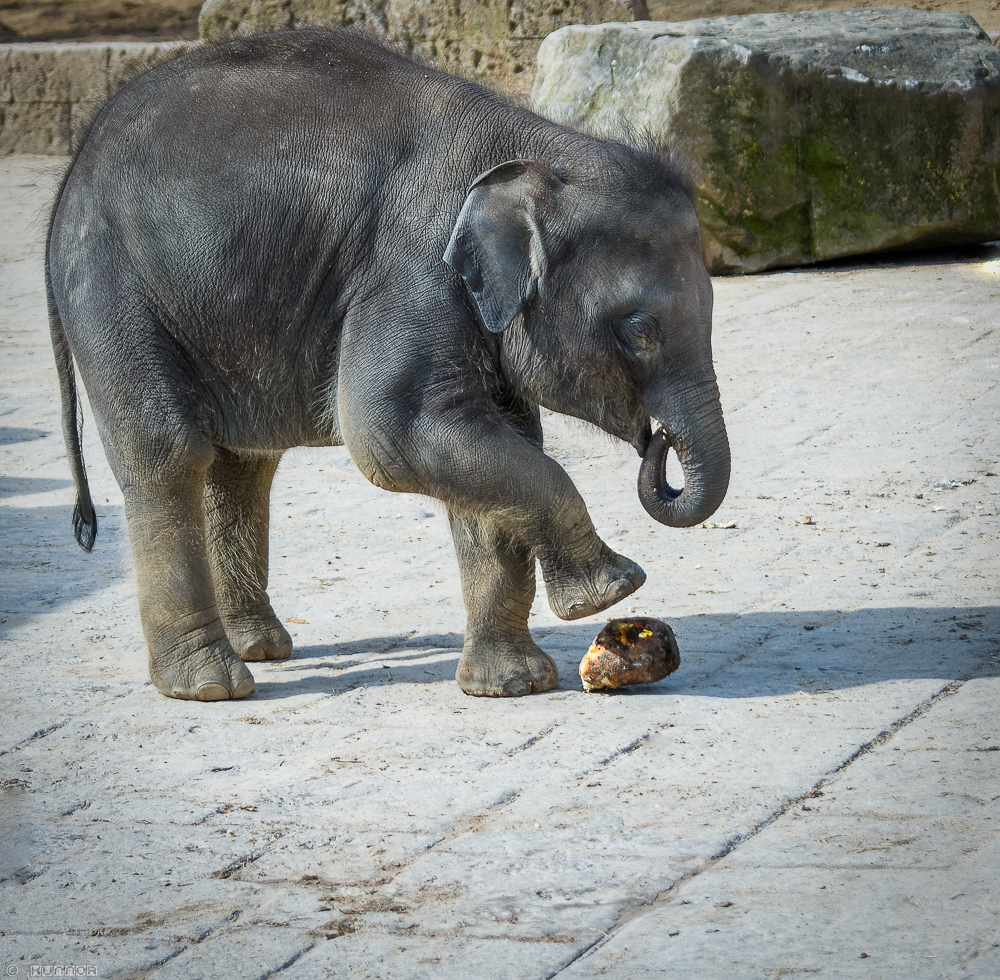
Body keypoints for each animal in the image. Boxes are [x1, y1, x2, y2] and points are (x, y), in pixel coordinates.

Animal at [47, 30, 732, 700]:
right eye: (639, 330)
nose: (658, 444)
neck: (535, 150)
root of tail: (71, 173)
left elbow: (488, 448)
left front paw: (513, 685)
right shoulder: (411, 276)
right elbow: (392, 435)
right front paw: (611, 591)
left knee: (242, 463)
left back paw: (259, 647)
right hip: (112, 290)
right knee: (168, 453)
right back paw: (211, 684)